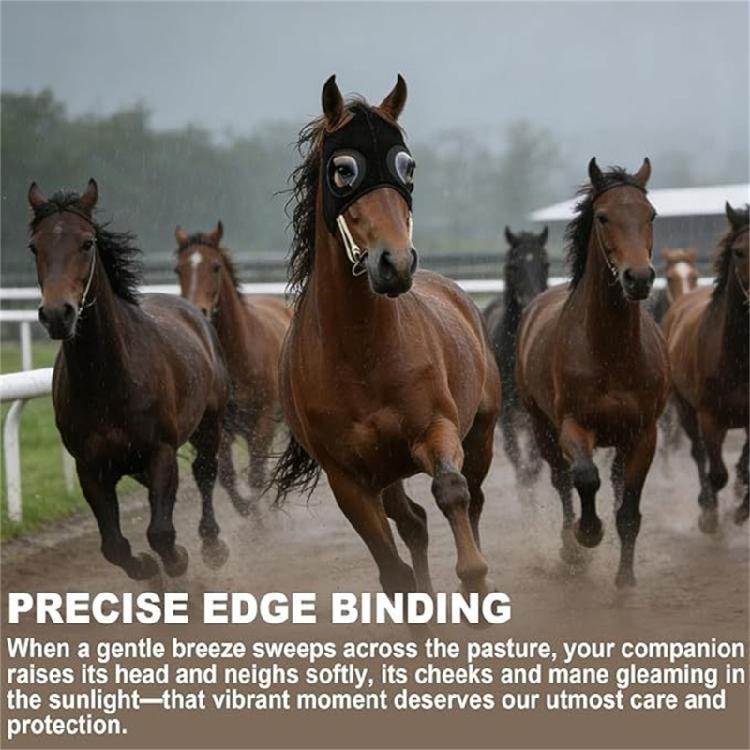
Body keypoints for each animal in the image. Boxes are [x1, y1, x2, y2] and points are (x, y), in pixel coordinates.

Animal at [28, 179, 231, 579]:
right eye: (34, 247)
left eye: (86, 243)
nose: (57, 314)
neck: (107, 378)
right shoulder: (91, 466)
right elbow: (115, 546)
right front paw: (150, 570)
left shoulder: (160, 451)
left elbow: (162, 533)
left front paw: (179, 563)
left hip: (209, 420)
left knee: (205, 470)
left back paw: (212, 543)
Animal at [174, 222, 291, 515]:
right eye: (178, 269)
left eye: (215, 266)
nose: (198, 310)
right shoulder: (221, 426)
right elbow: (228, 478)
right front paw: (251, 513)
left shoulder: (264, 420)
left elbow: (256, 478)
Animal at [272, 75, 501, 598]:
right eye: (343, 170)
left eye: (407, 166)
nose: (395, 263)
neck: (363, 353)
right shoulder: (350, 480)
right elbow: (393, 571)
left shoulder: (437, 430)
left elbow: (451, 491)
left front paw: (475, 580)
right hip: (386, 475)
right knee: (412, 521)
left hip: (482, 433)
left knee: (473, 497)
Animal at [517, 158, 669, 587]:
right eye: (603, 217)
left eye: (651, 214)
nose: (639, 277)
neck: (611, 350)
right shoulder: (573, 424)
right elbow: (584, 476)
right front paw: (587, 534)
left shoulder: (643, 434)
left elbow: (629, 509)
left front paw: (625, 580)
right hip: (542, 427)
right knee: (562, 479)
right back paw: (571, 549)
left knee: (614, 482)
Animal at [662, 202, 749, 530]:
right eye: (739, 251)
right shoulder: (711, 417)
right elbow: (717, 472)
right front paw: (709, 515)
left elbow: (745, 468)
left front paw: (741, 509)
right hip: (684, 406)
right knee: (698, 452)